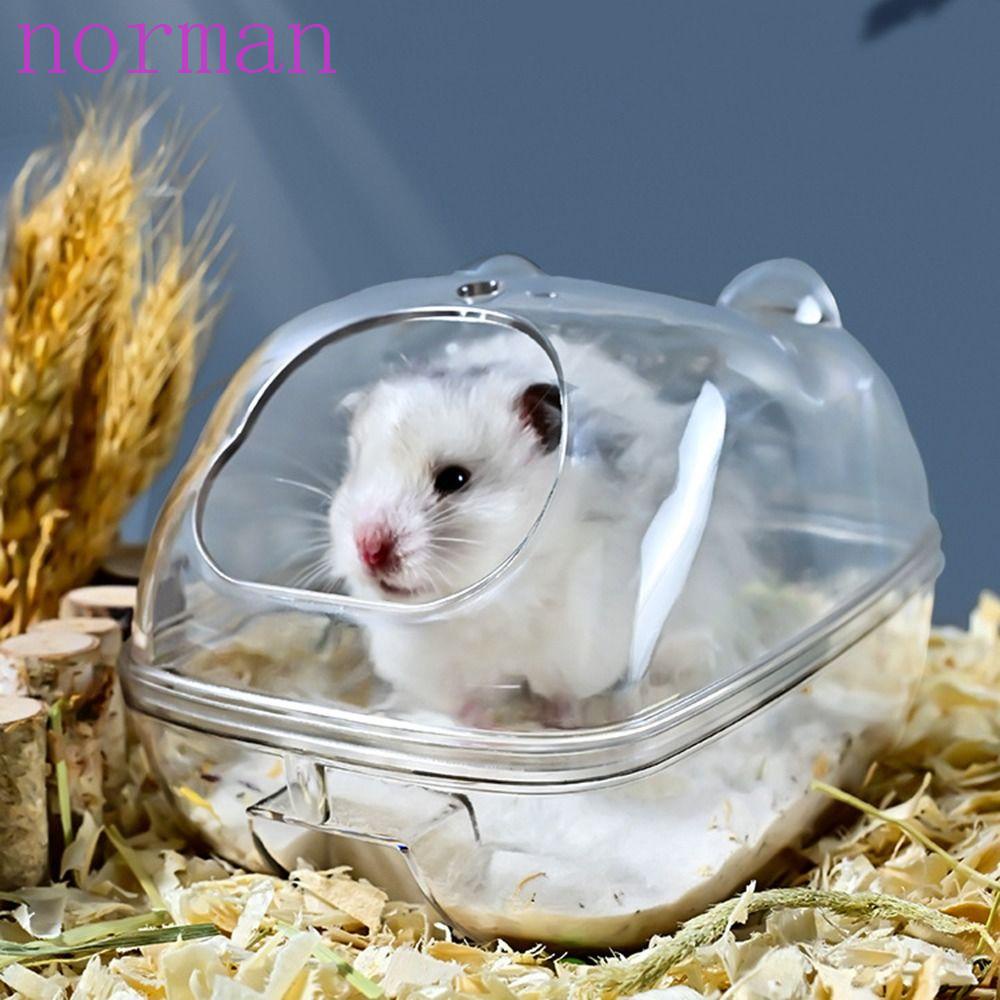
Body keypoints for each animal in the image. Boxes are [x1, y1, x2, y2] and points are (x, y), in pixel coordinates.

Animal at [328, 333, 753, 721]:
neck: (491, 603)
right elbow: (465, 708)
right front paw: (481, 735)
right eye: (356, 471)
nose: (368, 549)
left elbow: (564, 695)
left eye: (454, 479)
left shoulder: (579, 647)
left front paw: (561, 725)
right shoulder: (438, 670)